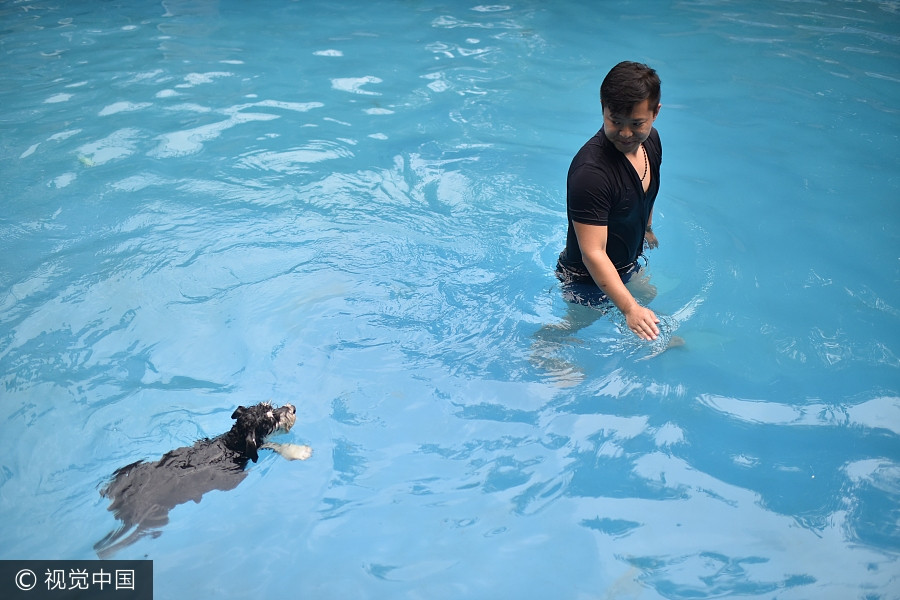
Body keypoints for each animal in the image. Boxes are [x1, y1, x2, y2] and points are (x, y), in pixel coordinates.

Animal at [96, 404, 298, 556]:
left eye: (270, 406)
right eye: (271, 419)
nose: (293, 408)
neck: (231, 444)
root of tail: (121, 507)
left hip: (129, 473)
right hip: (155, 517)